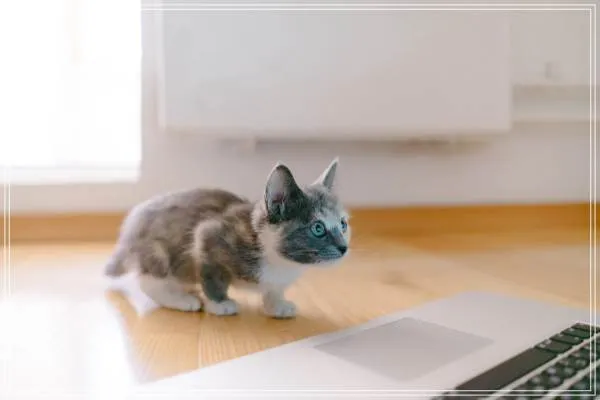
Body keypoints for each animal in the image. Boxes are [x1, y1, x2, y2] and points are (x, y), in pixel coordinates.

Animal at [104, 158, 350, 318]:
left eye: (342, 224)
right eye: (318, 228)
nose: (344, 247)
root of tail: (129, 230)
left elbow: (274, 289)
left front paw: (276, 304)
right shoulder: (209, 236)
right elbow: (212, 275)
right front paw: (219, 304)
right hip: (159, 252)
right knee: (147, 281)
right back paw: (181, 299)